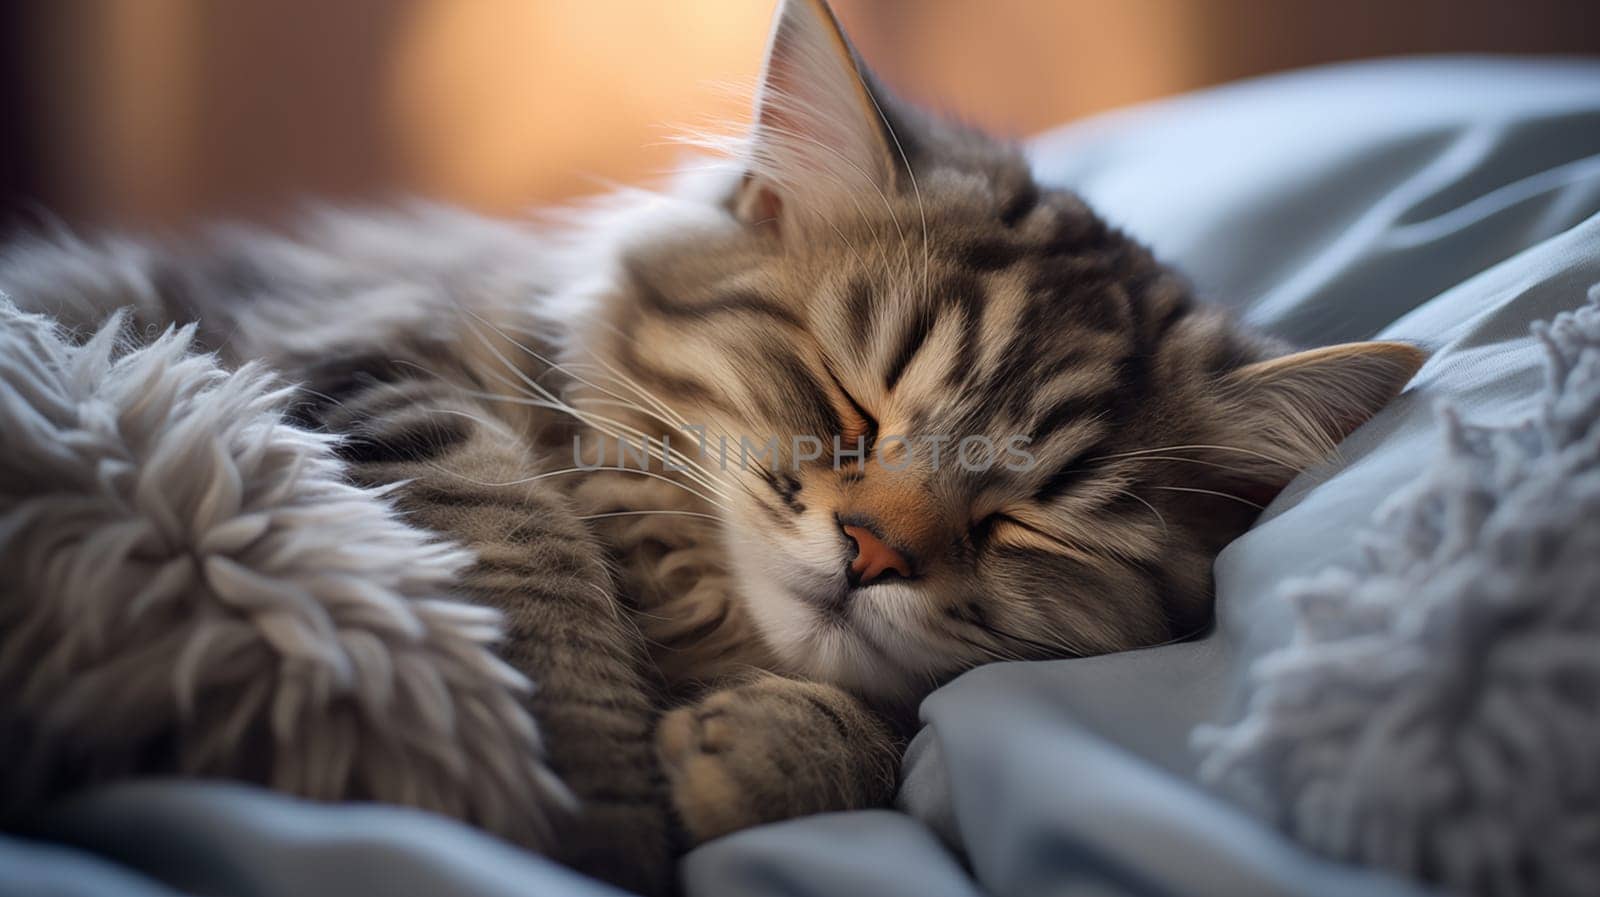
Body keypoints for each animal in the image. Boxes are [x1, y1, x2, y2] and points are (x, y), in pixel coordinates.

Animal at [0, 0, 1427, 889]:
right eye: (849, 405)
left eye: (1026, 517)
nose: (869, 554)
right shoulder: (375, 364)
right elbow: (534, 581)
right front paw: (591, 829)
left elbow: (896, 743)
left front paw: (760, 753)